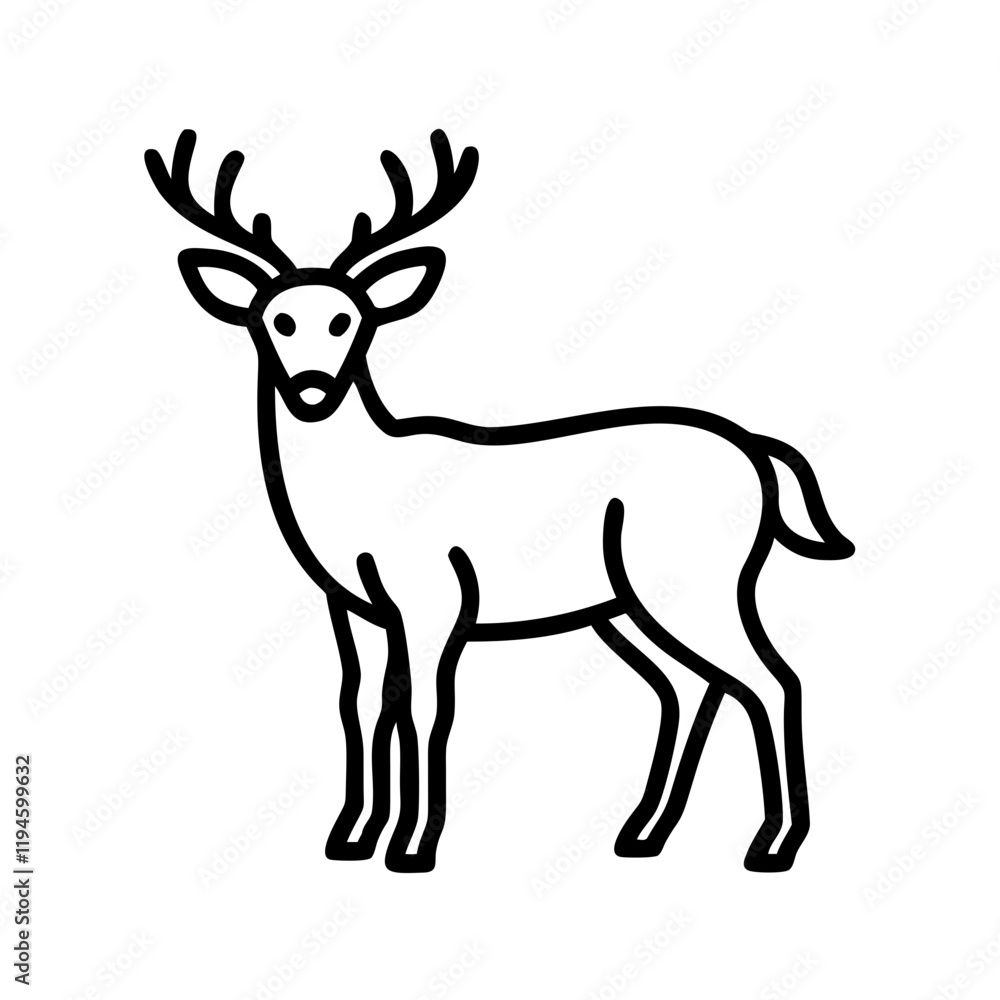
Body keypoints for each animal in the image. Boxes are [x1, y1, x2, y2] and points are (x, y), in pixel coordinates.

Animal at [145, 128, 854, 873]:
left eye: (348, 319)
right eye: (274, 319)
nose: (313, 387)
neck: (361, 489)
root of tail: (757, 451)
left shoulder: (434, 595)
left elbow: (423, 708)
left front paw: (413, 846)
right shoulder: (351, 606)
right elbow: (359, 705)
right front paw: (351, 838)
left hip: (697, 576)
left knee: (772, 679)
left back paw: (772, 845)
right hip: (627, 603)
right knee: (692, 687)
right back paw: (643, 833)